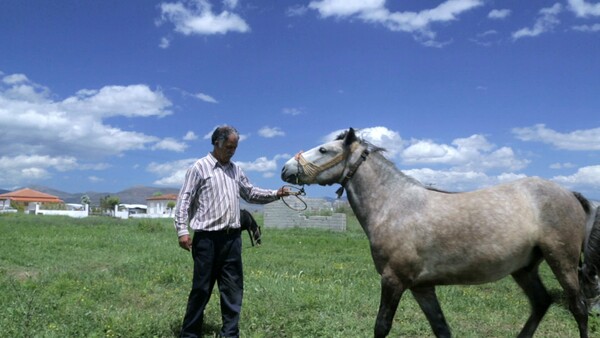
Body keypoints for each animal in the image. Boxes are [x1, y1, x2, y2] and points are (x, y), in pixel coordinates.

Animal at [282, 128, 600, 336]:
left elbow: (382, 326)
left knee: (579, 308)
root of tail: (570, 194)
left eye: (324, 150)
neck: (394, 206)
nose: (285, 168)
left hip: (561, 261)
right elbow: (441, 328)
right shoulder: (422, 287)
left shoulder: (393, 280)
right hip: (524, 268)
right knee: (541, 303)